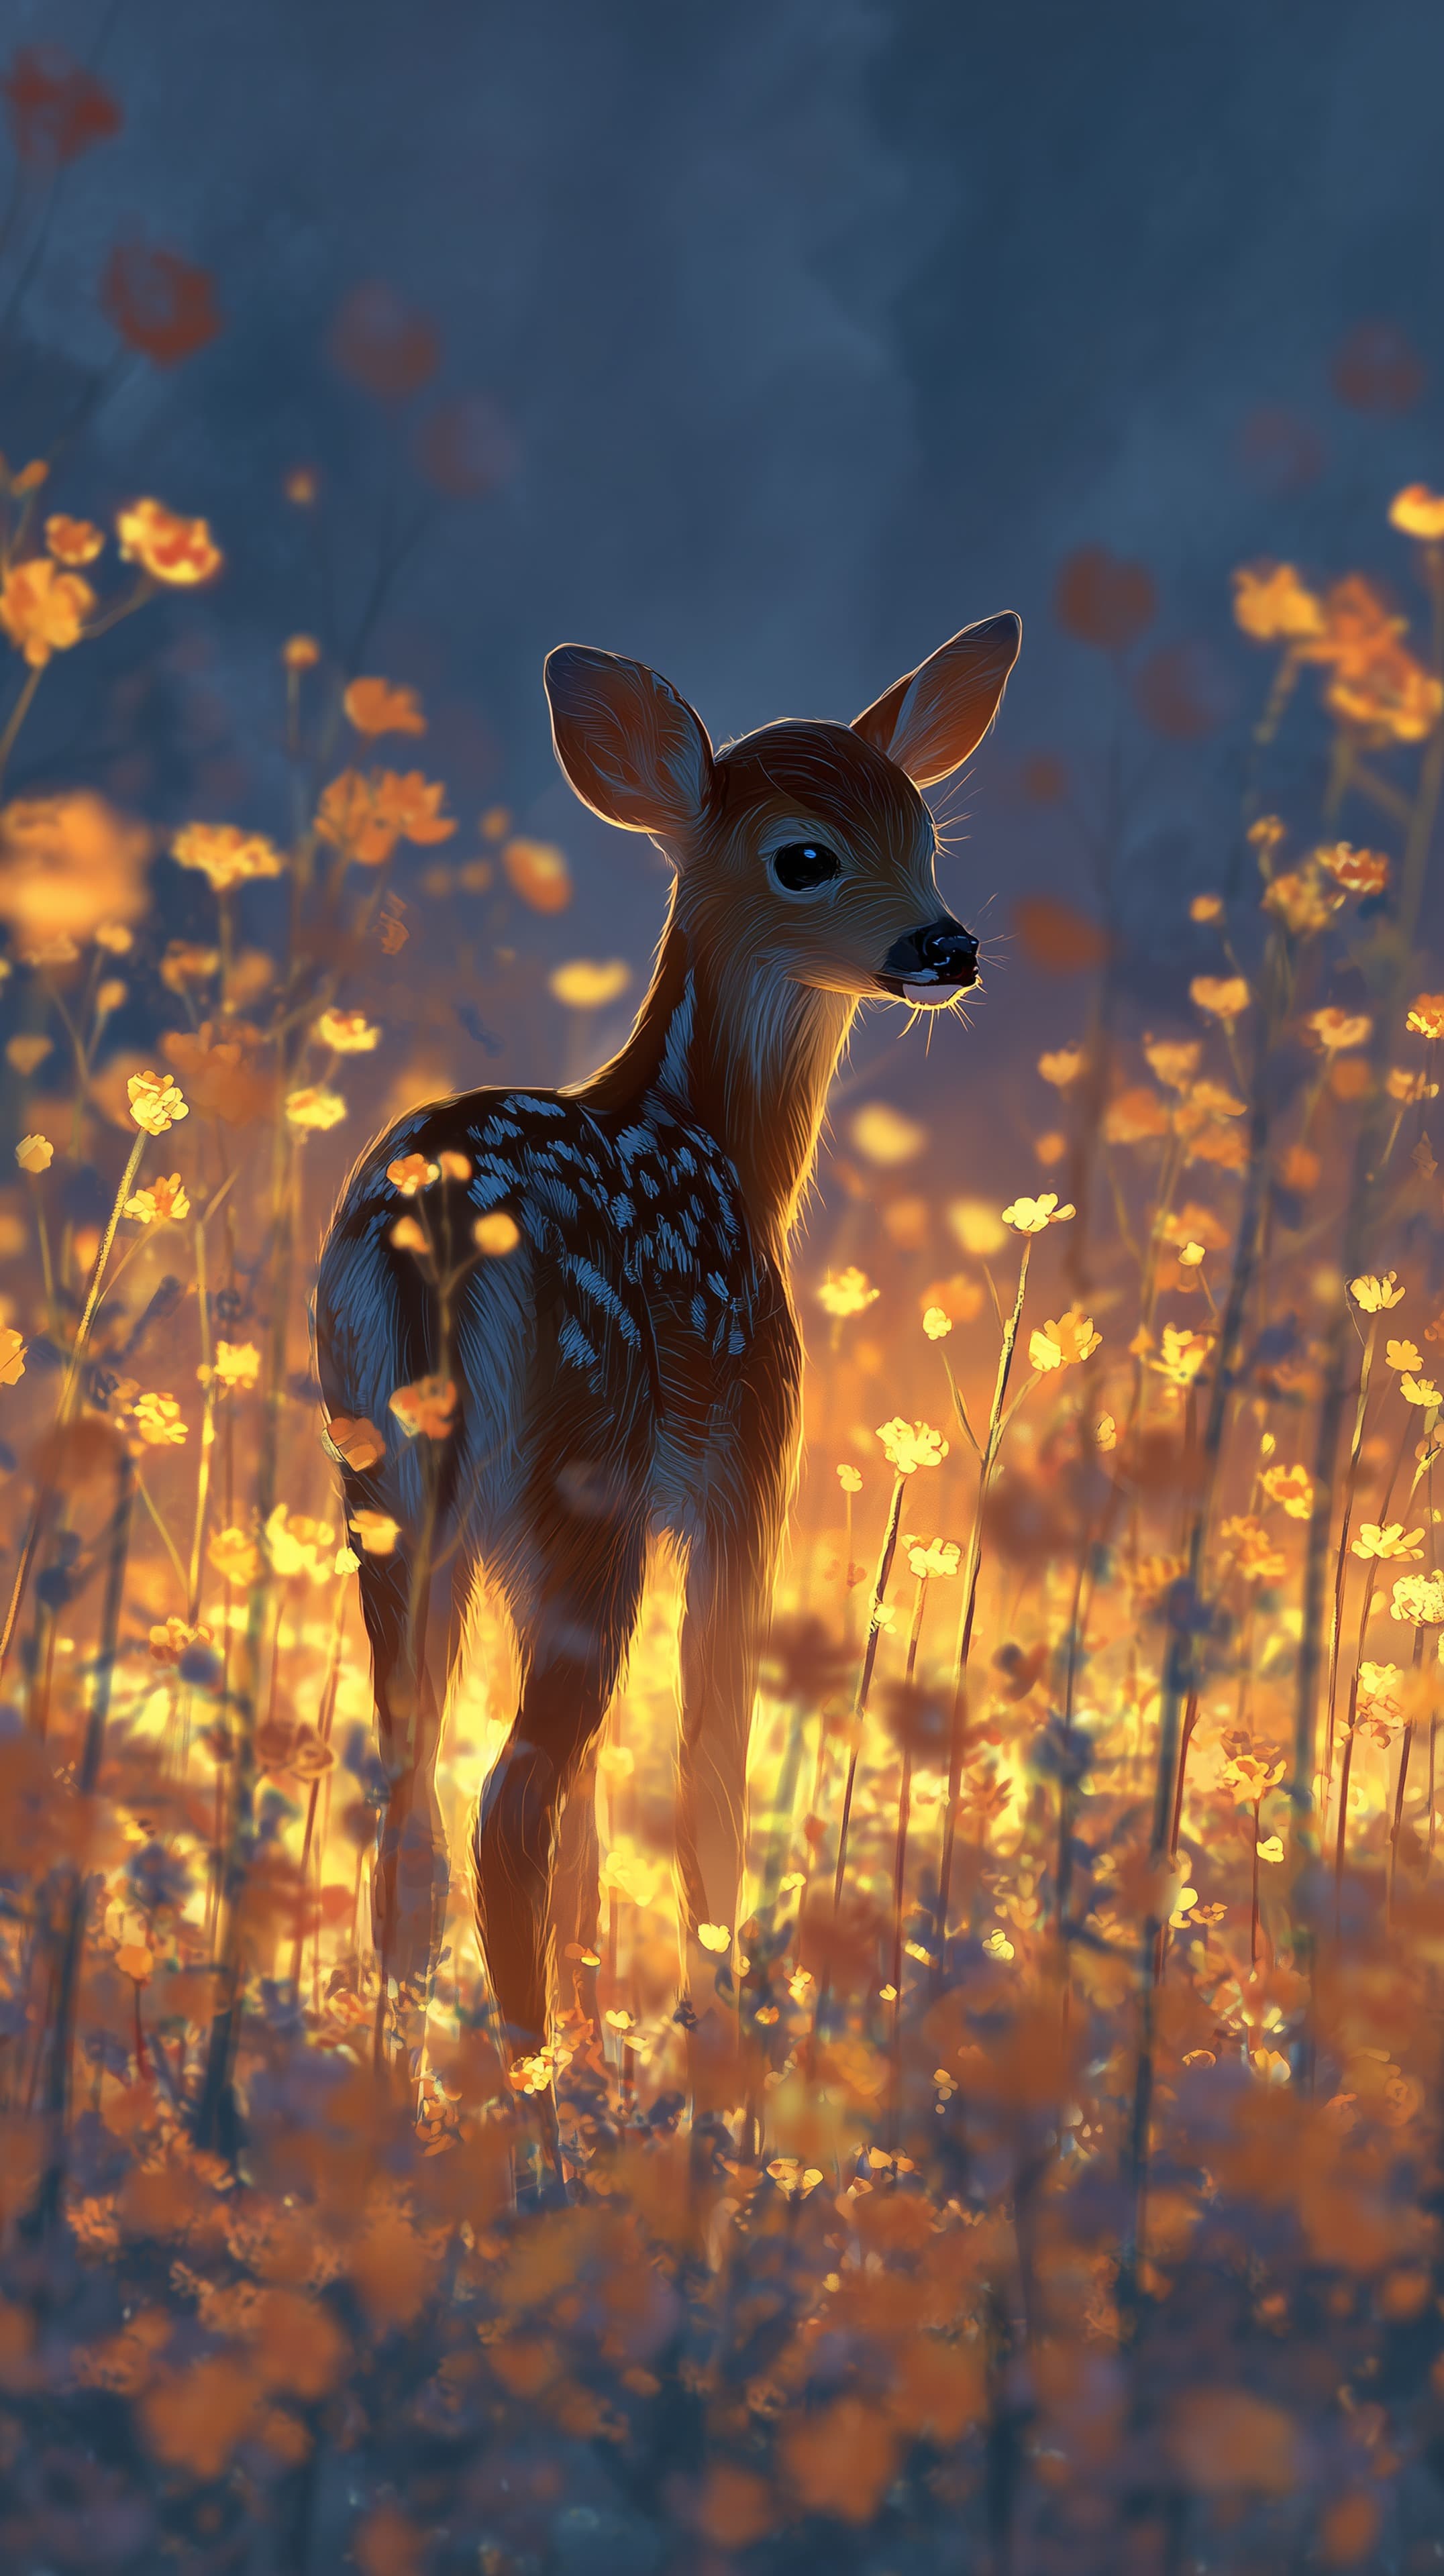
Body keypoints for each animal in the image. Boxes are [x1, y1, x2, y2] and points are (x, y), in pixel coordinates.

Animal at [313, 610, 1021, 2159]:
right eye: (804, 854)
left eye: (926, 828)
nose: (945, 947)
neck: (724, 1146)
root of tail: (426, 1233)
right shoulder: (744, 1470)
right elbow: (707, 1767)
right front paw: (709, 2065)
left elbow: (602, 1825)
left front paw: (604, 2040)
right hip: (577, 1477)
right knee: (510, 1795)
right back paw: (529, 2126)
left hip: (388, 1489)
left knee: (410, 1773)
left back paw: (395, 2091)